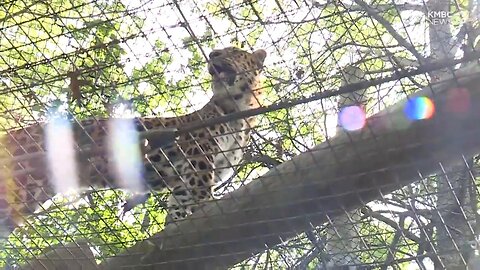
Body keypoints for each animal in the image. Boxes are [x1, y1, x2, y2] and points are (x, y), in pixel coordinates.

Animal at [0, 47, 266, 236]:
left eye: (233, 51)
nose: (212, 54)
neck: (240, 112)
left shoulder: (190, 177)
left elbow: (179, 205)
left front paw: (174, 224)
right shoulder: (198, 157)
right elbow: (202, 193)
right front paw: (207, 207)